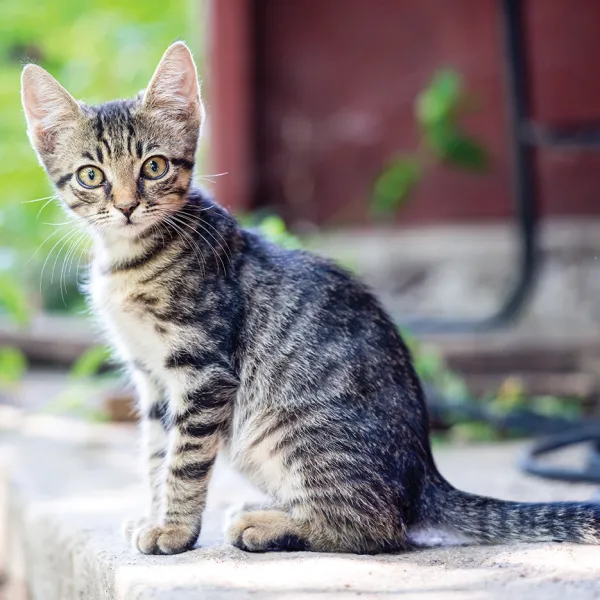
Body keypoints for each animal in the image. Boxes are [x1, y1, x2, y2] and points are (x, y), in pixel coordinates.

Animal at [21, 43, 600, 556]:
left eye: (155, 167)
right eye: (91, 176)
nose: (125, 206)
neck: (130, 258)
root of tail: (425, 476)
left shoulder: (203, 372)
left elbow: (183, 460)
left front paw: (174, 530)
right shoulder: (152, 378)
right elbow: (155, 454)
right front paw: (155, 513)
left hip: (290, 432)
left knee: (379, 528)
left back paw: (269, 526)